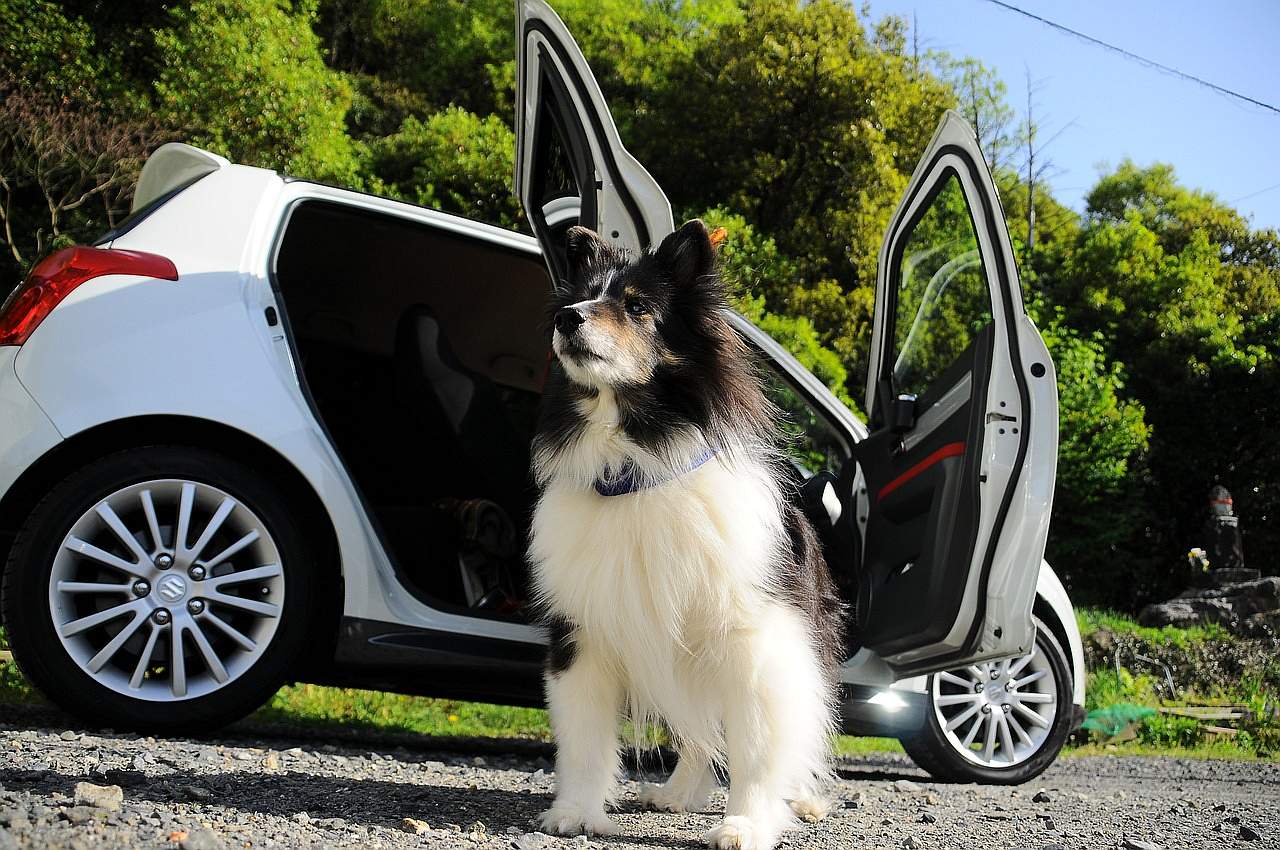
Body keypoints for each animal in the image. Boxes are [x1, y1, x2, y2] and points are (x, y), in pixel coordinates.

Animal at [524, 220, 844, 850]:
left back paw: (803, 798)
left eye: (637, 307)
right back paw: (676, 795)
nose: (567, 318)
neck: (635, 467)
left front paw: (747, 825)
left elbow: (756, 748)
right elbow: (584, 738)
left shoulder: (753, 643)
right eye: (583, 296)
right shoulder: (583, 634)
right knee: (696, 736)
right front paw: (576, 813)